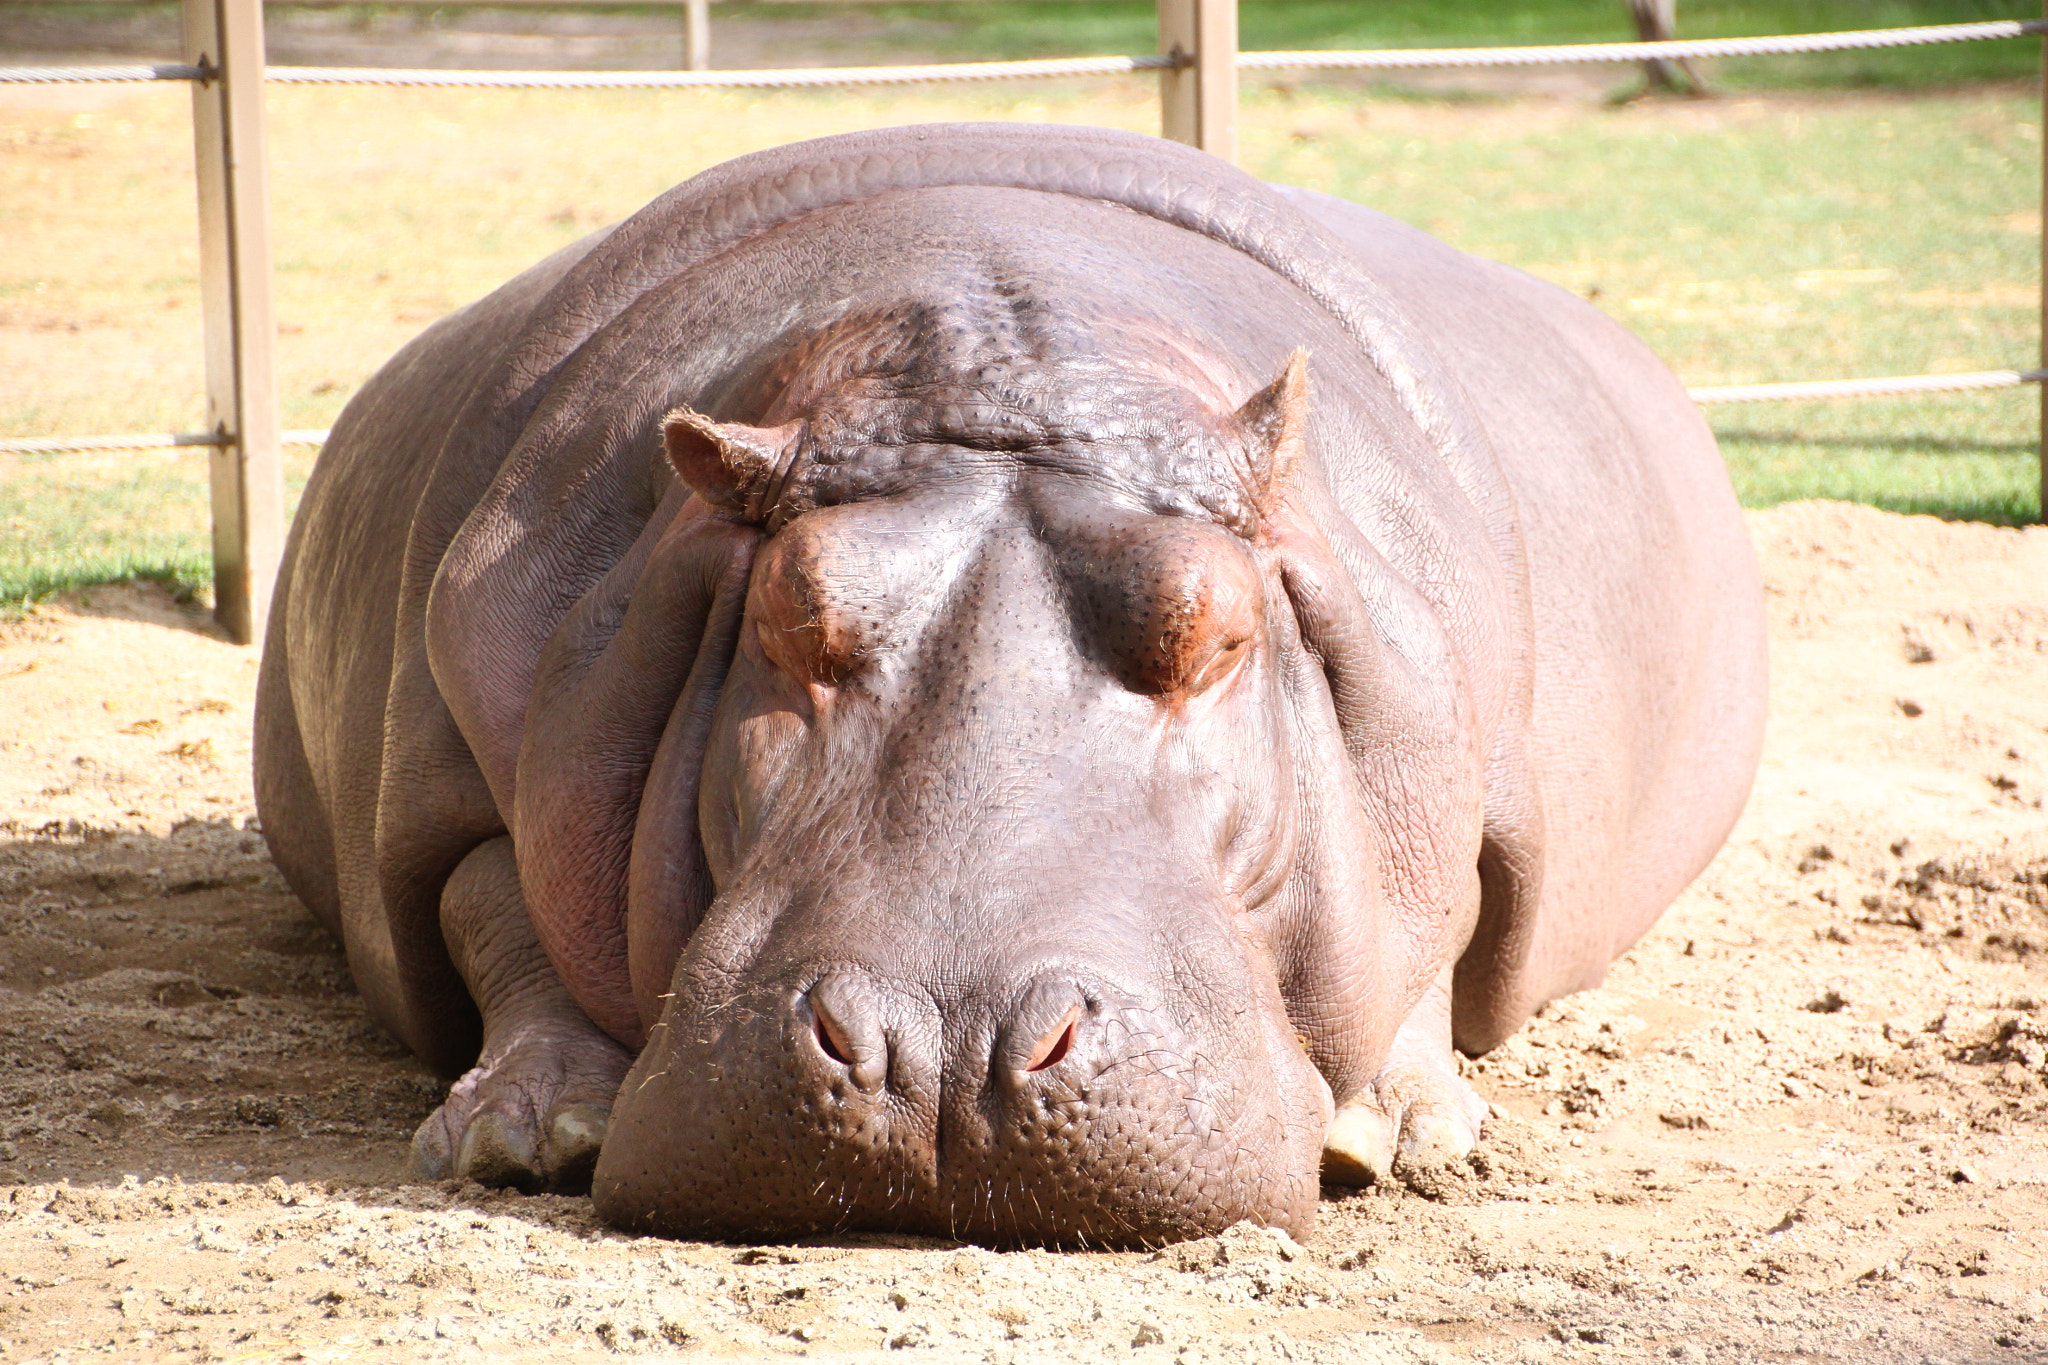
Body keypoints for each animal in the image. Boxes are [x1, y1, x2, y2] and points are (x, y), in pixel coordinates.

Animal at [254, 123, 1767, 1248]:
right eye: (788, 615)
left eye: (1217, 631)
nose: (944, 1046)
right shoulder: (466, 747)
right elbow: (489, 902)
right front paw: (524, 1134)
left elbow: (1441, 920)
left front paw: (1396, 1136)